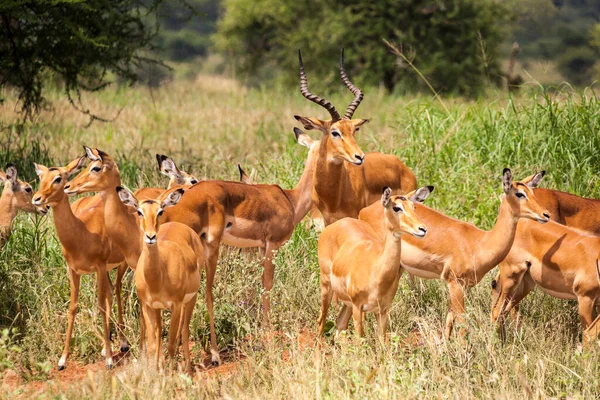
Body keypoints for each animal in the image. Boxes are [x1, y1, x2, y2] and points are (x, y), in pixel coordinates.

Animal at [33, 158, 129, 370]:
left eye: (58, 178)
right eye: (41, 177)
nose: (37, 198)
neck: (82, 233)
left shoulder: (100, 267)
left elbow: (100, 306)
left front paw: (110, 360)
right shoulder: (73, 271)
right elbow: (73, 307)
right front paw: (62, 360)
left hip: (122, 265)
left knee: (118, 291)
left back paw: (123, 343)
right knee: (111, 292)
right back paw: (105, 347)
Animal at [117, 188, 204, 372]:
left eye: (160, 211)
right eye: (139, 211)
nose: (150, 236)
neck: (158, 278)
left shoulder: (176, 305)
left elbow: (170, 343)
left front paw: (170, 374)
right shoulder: (147, 305)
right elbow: (151, 344)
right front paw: (154, 372)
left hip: (190, 299)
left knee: (184, 330)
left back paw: (188, 368)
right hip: (159, 308)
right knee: (160, 333)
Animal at [318, 187, 432, 338]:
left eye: (414, 207)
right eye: (396, 207)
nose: (422, 229)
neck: (376, 270)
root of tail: (334, 225)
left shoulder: (382, 310)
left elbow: (382, 340)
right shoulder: (358, 307)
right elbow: (360, 339)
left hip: (347, 303)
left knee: (340, 321)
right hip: (327, 286)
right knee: (321, 321)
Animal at [358, 167, 552, 336]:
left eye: (532, 192)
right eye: (519, 193)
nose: (546, 215)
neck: (480, 243)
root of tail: (364, 211)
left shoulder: (459, 286)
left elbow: (449, 321)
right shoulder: (456, 284)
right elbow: (462, 324)